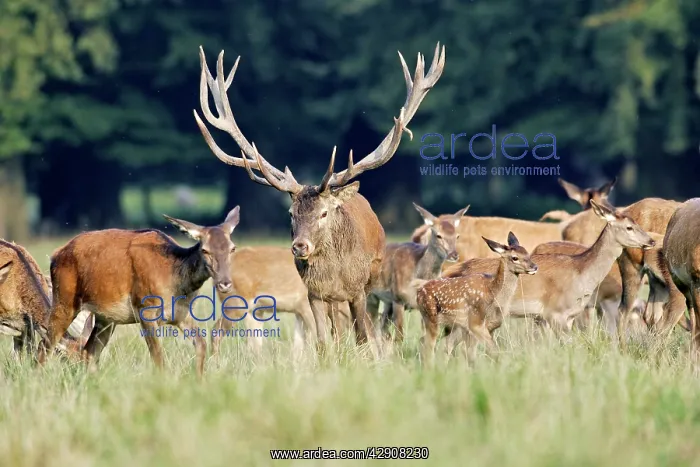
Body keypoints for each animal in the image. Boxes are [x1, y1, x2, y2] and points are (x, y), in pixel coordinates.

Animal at [38, 207, 241, 377]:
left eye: (232, 248)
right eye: (205, 250)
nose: (225, 283)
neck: (176, 286)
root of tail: (55, 256)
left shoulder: (180, 314)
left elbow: (201, 344)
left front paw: (200, 381)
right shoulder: (145, 308)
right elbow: (158, 357)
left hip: (105, 318)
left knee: (89, 352)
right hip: (65, 300)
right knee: (45, 344)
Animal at [211, 245, 352, 355]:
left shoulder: (299, 311)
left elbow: (298, 346)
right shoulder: (306, 306)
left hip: (254, 311)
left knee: (253, 345)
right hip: (235, 304)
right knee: (216, 333)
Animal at [367, 202, 468, 343]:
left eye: (457, 236)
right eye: (438, 235)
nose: (454, 255)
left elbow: (427, 335)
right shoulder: (398, 297)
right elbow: (399, 336)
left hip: (387, 303)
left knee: (382, 327)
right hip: (371, 295)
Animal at [416, 232, 538, 364]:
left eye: (527, 253)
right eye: (515, 257)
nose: (534, 266)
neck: (493, 292)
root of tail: (419, 292)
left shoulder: (489, 326)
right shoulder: (475, 322)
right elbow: (484, 351)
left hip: (449, 324)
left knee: (435, 342)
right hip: (431, 316)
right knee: (429, 344)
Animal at [441, 201, 656, 336]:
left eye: (636, 222)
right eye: (629, 227)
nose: (651, 241)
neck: (581, 275)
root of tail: (448, 273)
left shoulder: (565, 316)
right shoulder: (554, 314)